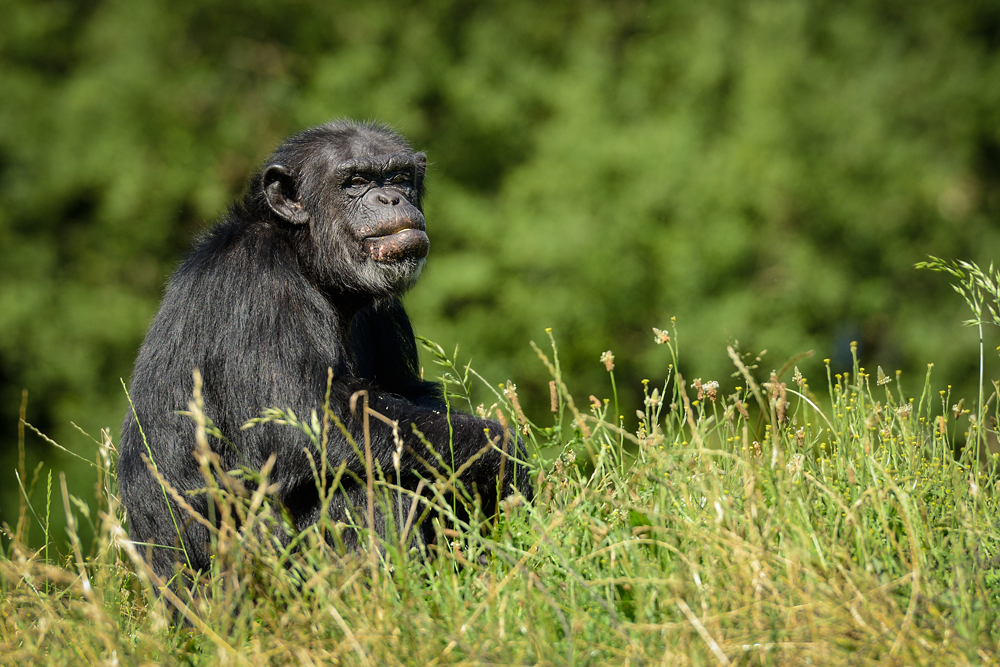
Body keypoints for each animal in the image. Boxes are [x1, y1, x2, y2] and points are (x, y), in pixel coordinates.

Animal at [119, 120, 532, 584]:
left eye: (399, 177)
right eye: (355, 182)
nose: (390, 198)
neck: (307, 258)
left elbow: (414, 397)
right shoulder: (263, 284)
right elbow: (306, 415)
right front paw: (501, 452)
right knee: (370, 482)